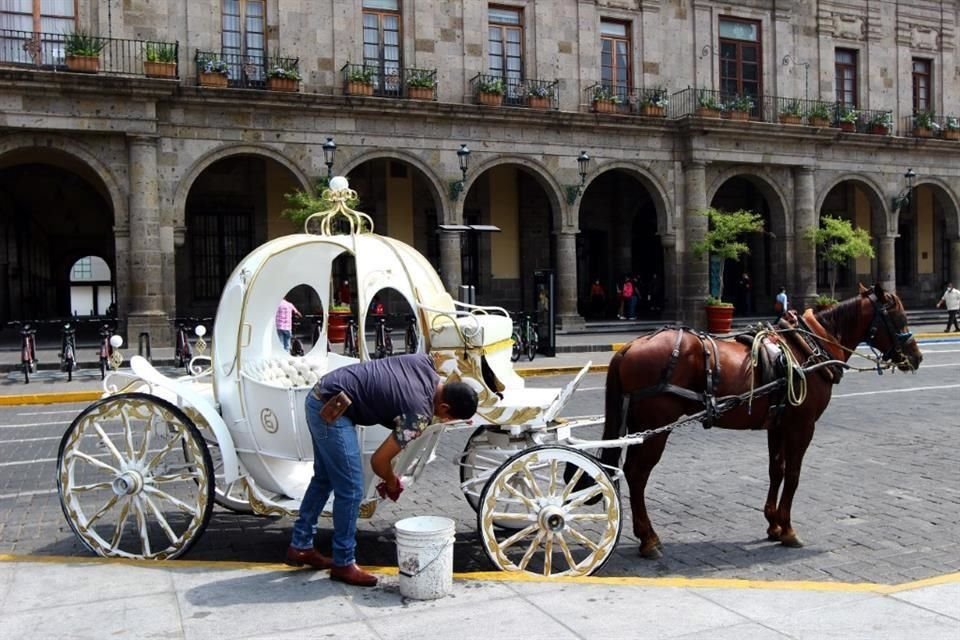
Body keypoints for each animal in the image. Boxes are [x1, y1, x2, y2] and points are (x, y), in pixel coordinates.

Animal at [600, 282, 924, 556]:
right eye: (898, 317)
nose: (917, 357)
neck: (806, 349)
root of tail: (628, 348)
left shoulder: (778, 423)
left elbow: (776, 470)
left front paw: (773, 525)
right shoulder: (803, 425)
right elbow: (793, 475)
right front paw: (789, 530)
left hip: (640, 426)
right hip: (656, 427)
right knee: (637, 475)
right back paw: (649, 539)